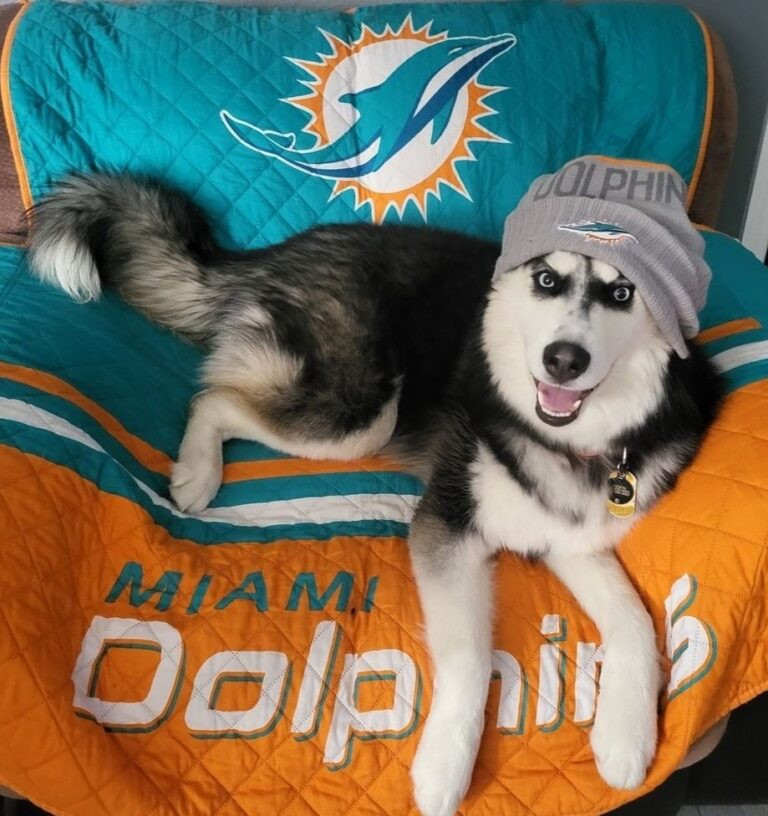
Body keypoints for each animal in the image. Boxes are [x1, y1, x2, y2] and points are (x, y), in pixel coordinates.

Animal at [28, 168, 722, 816]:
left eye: (623, 292)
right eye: (547, 281)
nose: (563, 360)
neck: (572, 441)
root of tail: (276, 251)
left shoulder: (569, 538)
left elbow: (635, 620)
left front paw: (627, 737)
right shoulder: (447, 521)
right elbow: (472, 656)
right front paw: (445, 766)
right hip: (359, 413)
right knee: (215, 397)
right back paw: (198, 472)